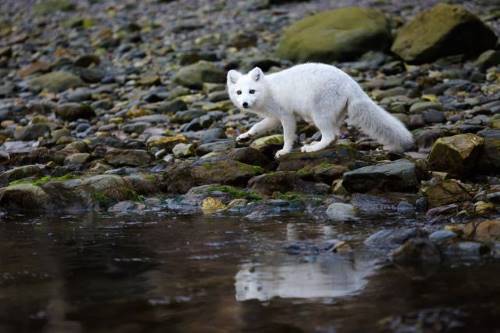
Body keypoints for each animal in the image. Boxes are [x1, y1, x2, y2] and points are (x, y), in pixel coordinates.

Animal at [228, 63, 414, 160]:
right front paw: (245, 136)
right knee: (336, 135)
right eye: (239, 92)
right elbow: (257, 127)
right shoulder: (274, 117)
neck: (268, 90)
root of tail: (351, 83)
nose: (244, 103)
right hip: (334, 115)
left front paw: (284, 151)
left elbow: (287, 136)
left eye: (252, 91)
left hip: (319, 115)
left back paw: (313, 148)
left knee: (330, 135)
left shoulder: (287, 116)